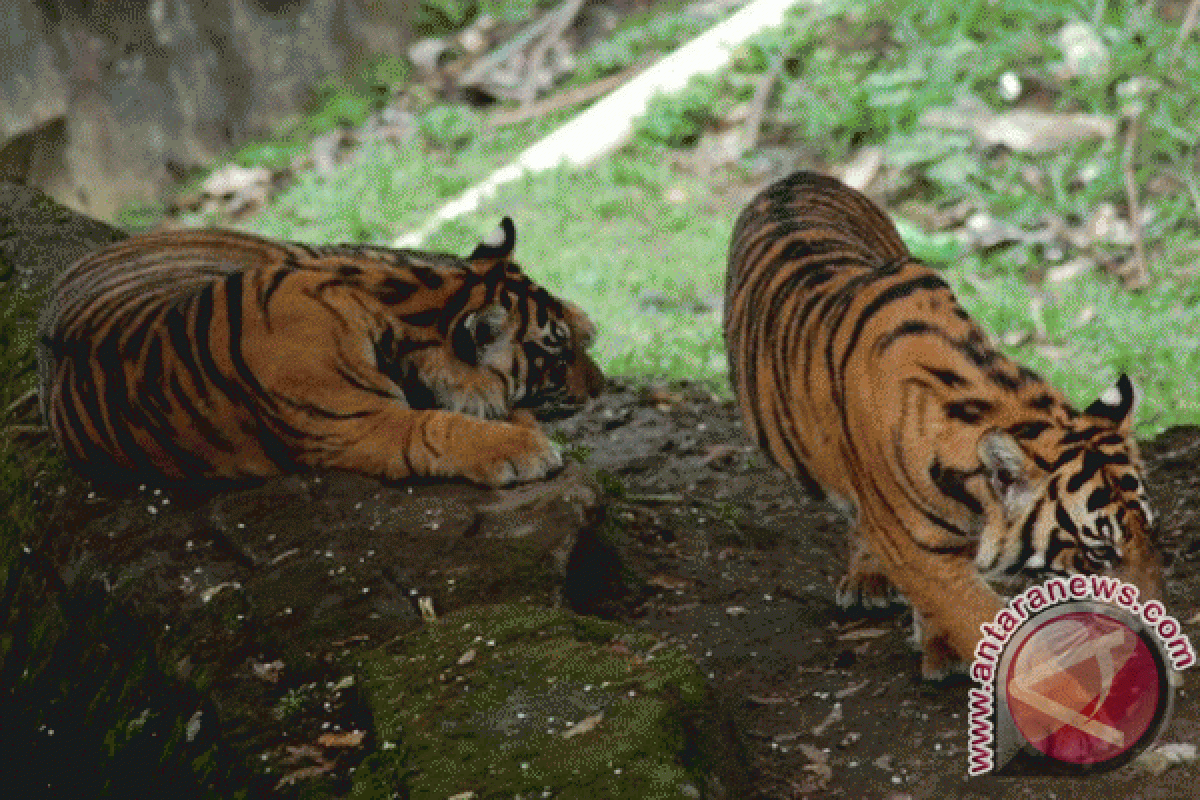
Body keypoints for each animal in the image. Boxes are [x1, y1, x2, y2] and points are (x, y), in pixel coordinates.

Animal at [720, 172, 1161, 681]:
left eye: (1149, 533)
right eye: (1100, 553)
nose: (1152, 621)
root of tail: (797, 176)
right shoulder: (918, 552)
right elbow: (983, 620)